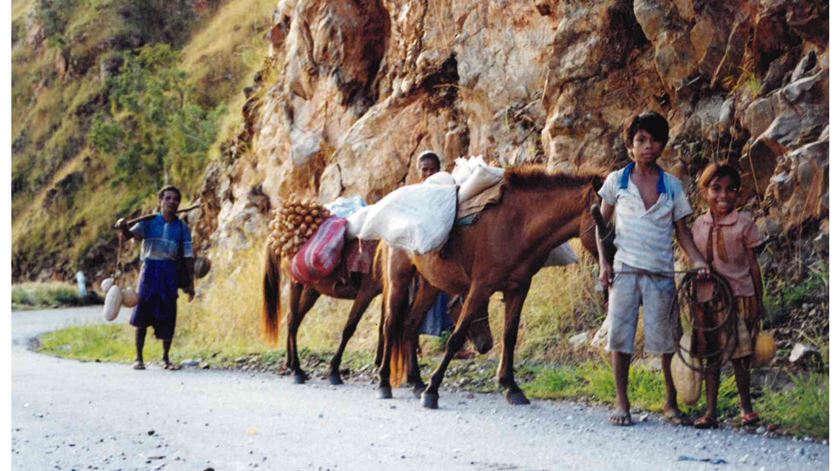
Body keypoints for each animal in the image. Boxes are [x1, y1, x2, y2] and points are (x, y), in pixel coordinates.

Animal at [260, 238, 488, 392]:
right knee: (292, 321)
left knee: (293, 321)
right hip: (297, 283)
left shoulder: (385, 292)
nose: (487, 344)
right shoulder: (367, 291)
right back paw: (297, 369)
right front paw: (334, 371)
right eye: (472, 306)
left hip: (311, 289)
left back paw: (291, 364)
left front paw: (382, 365)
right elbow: (350, 327)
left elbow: (387, 329)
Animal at [378, 167, 600, 410]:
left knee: (410, 325)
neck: (519, 225)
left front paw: (511, 387)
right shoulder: (480, 287)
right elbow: (456, 337)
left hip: (430, 285)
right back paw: (384, 383)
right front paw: (432, 390)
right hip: (398, 279)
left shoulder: (518, 288)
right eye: (606, 217)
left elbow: (509, 336)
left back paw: (417, 382)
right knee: (390, 326)